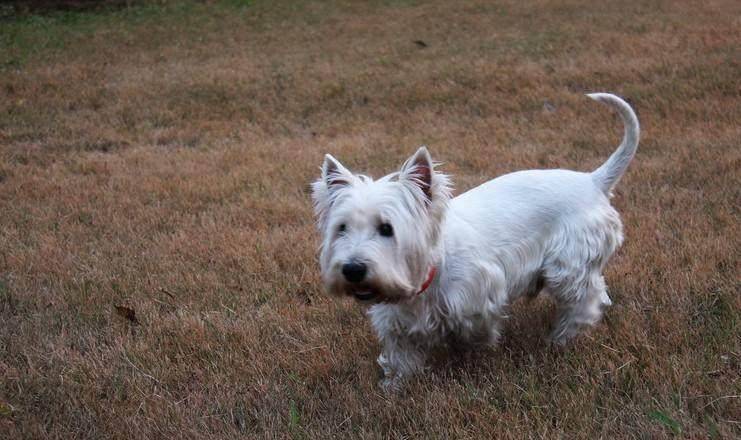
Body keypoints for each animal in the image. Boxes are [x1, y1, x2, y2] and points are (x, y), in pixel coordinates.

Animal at [310, 93, 640, 392]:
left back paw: (560, 339)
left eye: (386, 228)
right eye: (342, 228)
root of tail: (592, 181)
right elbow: (401, 356)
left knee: (586, 299)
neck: (430, 273)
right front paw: (394, 387)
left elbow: (474, 334)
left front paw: (471, 356)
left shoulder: (479, 297)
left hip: (566, 266)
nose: (352, 269)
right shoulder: (397, 318)